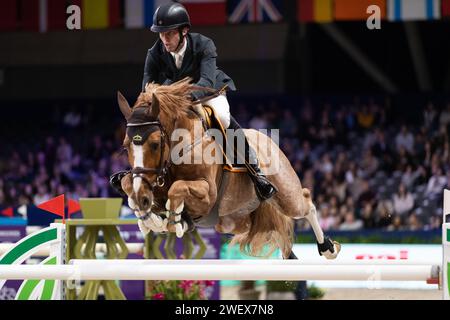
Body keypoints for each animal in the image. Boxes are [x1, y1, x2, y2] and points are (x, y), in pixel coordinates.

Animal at [116, 78, 342, 260]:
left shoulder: (208, 194)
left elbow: (177, 188)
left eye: (155, 144)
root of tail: (268, 139)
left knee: (306, 202)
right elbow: (129, 183)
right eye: (126, 145)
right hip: (233, 221)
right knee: (270, 229)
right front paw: (149, 217)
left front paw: (174, 220)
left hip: (286, 196)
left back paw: (328, 248)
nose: (141, 198)